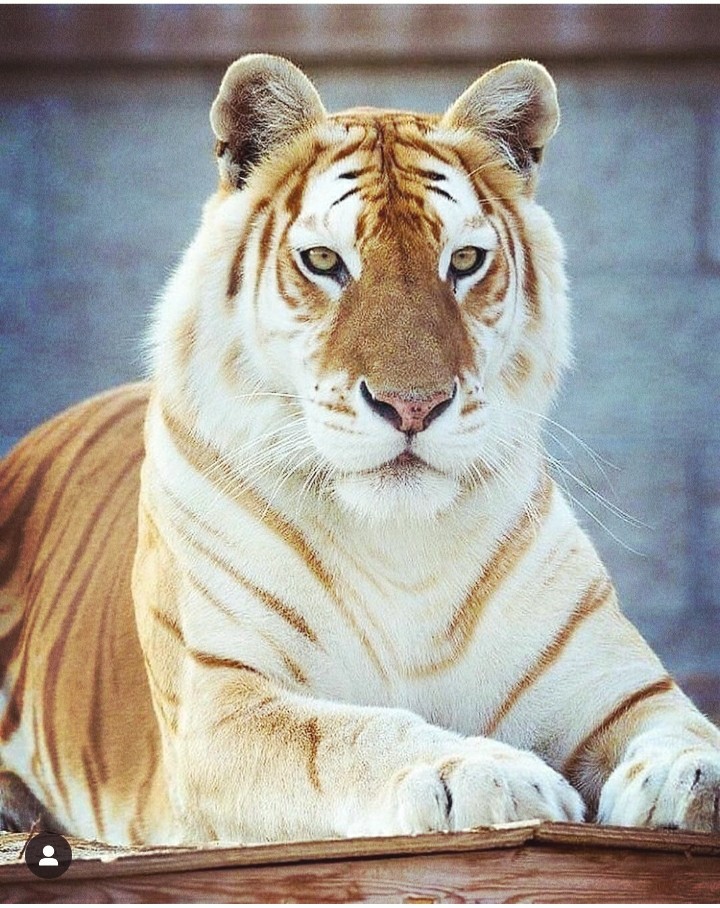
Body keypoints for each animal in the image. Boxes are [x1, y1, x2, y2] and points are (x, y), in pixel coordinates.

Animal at [1, 54, 719, 847]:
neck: (402, 546)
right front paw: (483, 771)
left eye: (465, 260)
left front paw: (691, 774)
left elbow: (684, 725)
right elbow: (352, 736)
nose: (413, 405)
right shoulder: (224, 700)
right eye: (323, 260)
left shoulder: (618, 685)